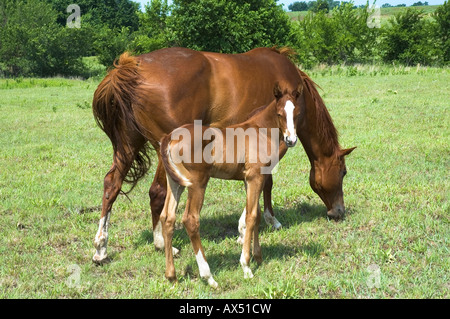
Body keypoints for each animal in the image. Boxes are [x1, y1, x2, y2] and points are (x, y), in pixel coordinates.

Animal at [93, 46, 356, 264]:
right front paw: (261, 223)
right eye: (343, 172)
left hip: (128, 146)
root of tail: (133, 67)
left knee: (111, 185)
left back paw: (101, 248)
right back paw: (160, 243)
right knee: (157, 192)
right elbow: (266, 183)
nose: (339, 212)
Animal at [158, 82, 302, 288]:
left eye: (297, 113)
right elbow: (251, 216)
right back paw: (209, 277)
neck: (261, 130)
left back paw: (171, 275)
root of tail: (170, 137)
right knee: (190, 220)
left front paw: (258, 256)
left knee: (167, 218)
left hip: (175, 183)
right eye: (280, 113)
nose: (291, 140)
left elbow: (256, 214)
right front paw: (246, 266)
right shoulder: (255, 177)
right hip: (197, 183)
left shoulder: (250, 180)